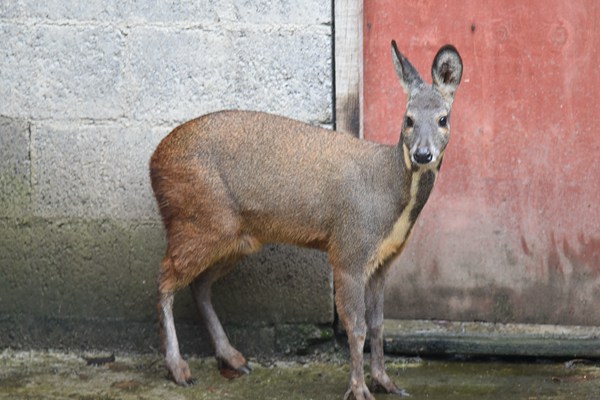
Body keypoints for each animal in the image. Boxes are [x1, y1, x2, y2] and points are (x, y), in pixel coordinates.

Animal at [150, 41, 464, 400]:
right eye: (408, 119)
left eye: (443, 118)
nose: (422, 154)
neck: (388, 193)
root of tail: (153, 162)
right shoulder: (349, 250)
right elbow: (356, 327)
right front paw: (359, 389)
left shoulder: (383, 261)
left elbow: (378, 324)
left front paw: (386, 382)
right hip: (198, 220)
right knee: (164, 280)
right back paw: (179, 369)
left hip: (236, 237)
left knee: (198, 285)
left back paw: (233, 358)